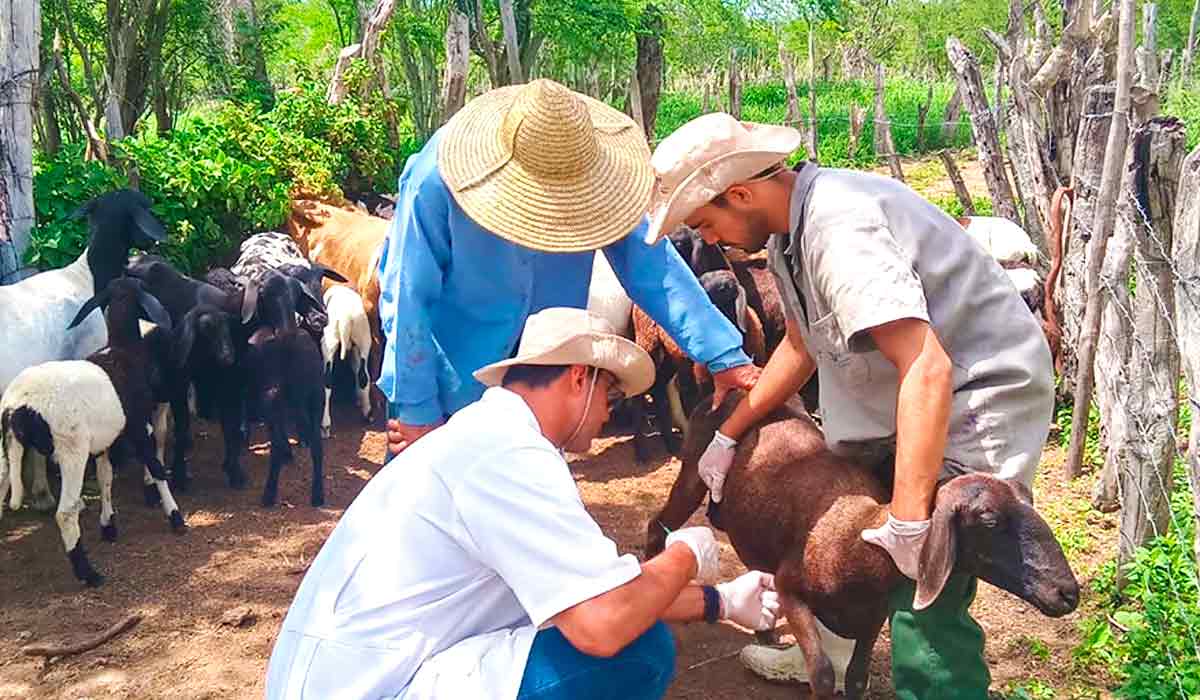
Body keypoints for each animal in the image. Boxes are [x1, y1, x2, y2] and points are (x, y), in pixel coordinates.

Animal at [321, 285, 372, 437]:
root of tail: (346, 320)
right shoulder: (355, 348)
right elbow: (356, 369)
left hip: (329, 343)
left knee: (327, 382)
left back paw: (325, 425)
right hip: (364, 340)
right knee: (364, 376)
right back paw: (367, 412)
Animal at [652, 393, 1084, 700]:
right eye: (990, 520)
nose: (1068, 593)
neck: (858, 541)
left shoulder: (873, 616)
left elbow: (857, 678)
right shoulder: (793, 590)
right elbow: (824, 675)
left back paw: (763, 632)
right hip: (694, 471)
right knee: (657, 524)